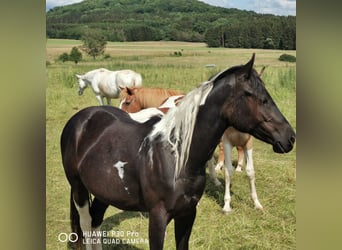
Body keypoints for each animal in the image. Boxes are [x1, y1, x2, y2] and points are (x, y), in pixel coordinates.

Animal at [60, 54, 294, 250]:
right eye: (256, 96)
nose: (290, 137)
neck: (177, 157)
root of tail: (81, 118)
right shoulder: (158, 217)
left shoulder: (188, 213)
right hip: (79, 188)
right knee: (86, 225)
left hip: (104, 191)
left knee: (96, 222)